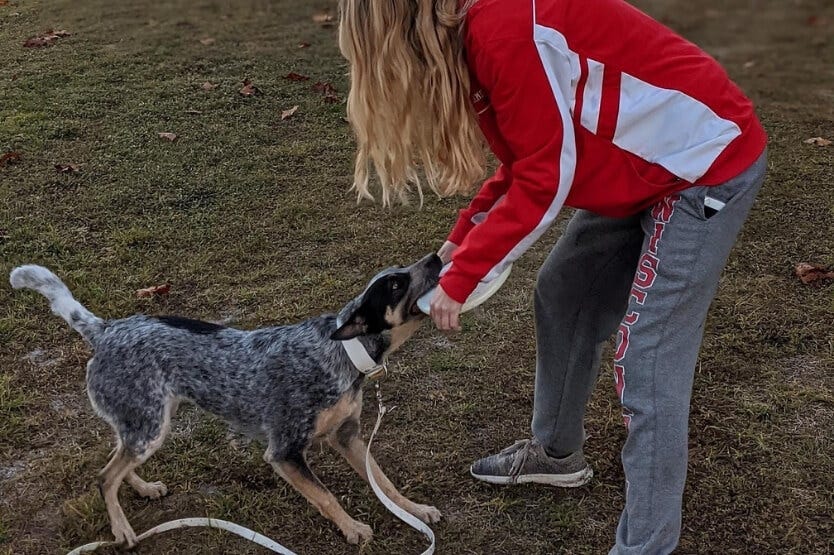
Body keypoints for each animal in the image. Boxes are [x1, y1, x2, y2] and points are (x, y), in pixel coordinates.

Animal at [9, 254, 446, 548]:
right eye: (396, 285)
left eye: (402, 270)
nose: (436, 256)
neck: (342, 353)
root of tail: (104, 329)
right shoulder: (286, 453)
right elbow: (326, 495)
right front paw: (352, 529)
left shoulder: (348, 437)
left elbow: (383, 481)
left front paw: (414, 510)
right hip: (151, 428)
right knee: (104, 477)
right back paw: (122, 530)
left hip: (148, 423)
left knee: (116, 461)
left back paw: (143, 488)